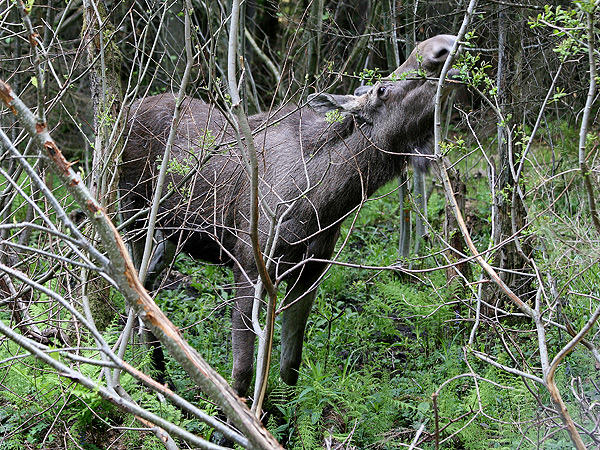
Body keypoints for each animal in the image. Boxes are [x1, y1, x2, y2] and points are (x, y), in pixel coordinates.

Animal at [120, 35, 460, 396]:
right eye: (382, 89)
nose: (441, 45)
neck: (326, 205)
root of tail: (126, 109)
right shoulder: (248, 267)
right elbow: (242, 372)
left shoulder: (310, 273)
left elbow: (289, 367)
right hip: (133, 214)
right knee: (135, 289)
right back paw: (153, 377)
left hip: (173, 232)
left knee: (149, 287)